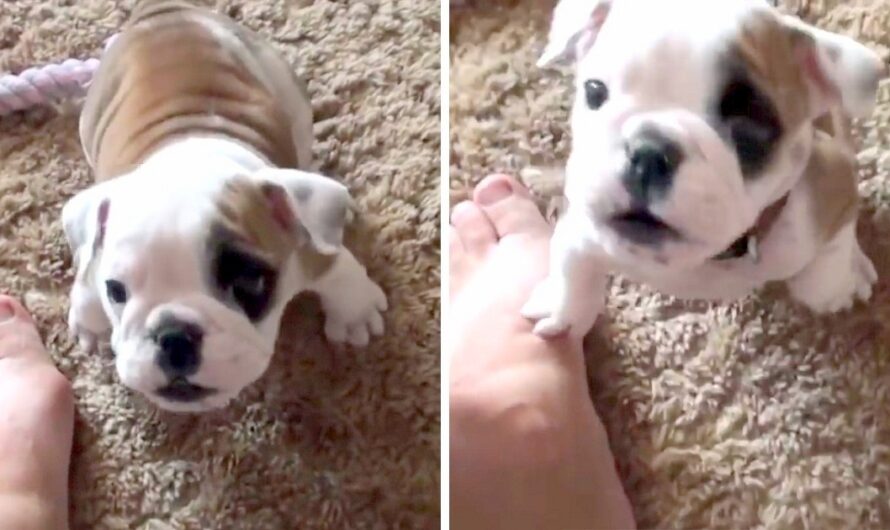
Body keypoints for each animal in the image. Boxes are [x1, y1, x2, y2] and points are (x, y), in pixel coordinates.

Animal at [59, 0, 386, 410]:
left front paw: (356, 314)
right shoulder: (94, 239)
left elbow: (338, 268)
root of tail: (163, 12)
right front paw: (90, 318)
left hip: (292, 99)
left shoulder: (307, 245)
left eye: (249, 281)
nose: (173, 335)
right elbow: (86, 271)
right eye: (116, 291)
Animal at [520, 0, 880, 338]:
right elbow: (572, 266)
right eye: (594, 91)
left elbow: (825, 268)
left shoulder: (835, 181)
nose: (649, 153)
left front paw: (832, 288)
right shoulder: (584, 227)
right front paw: (563, 313)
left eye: (751, 126)